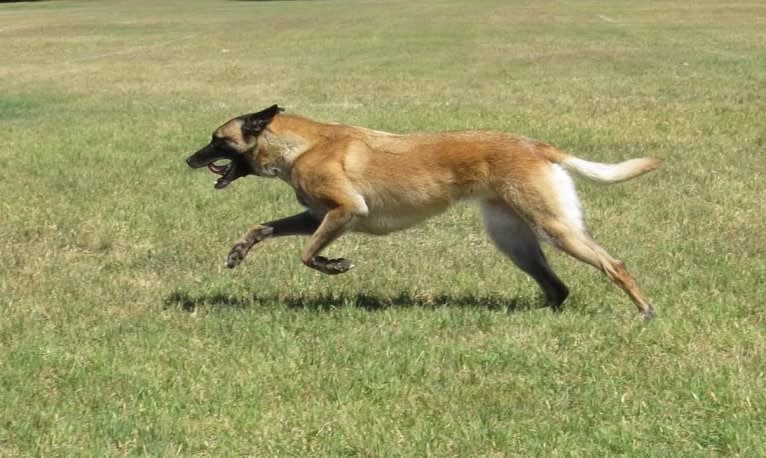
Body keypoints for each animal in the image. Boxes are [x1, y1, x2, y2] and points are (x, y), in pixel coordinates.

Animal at [186, 105, 660, 316]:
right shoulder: (315, 216)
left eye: (216, 138)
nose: (187, 159)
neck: (304, 145)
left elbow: (307, 255)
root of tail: (536, 146)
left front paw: (334, 265)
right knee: (557, 287)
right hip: (514, 240)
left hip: (553, 226)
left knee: (614, 264)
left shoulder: (345, 210)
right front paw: (238, 251)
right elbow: (262, 227)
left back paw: (645, 311)